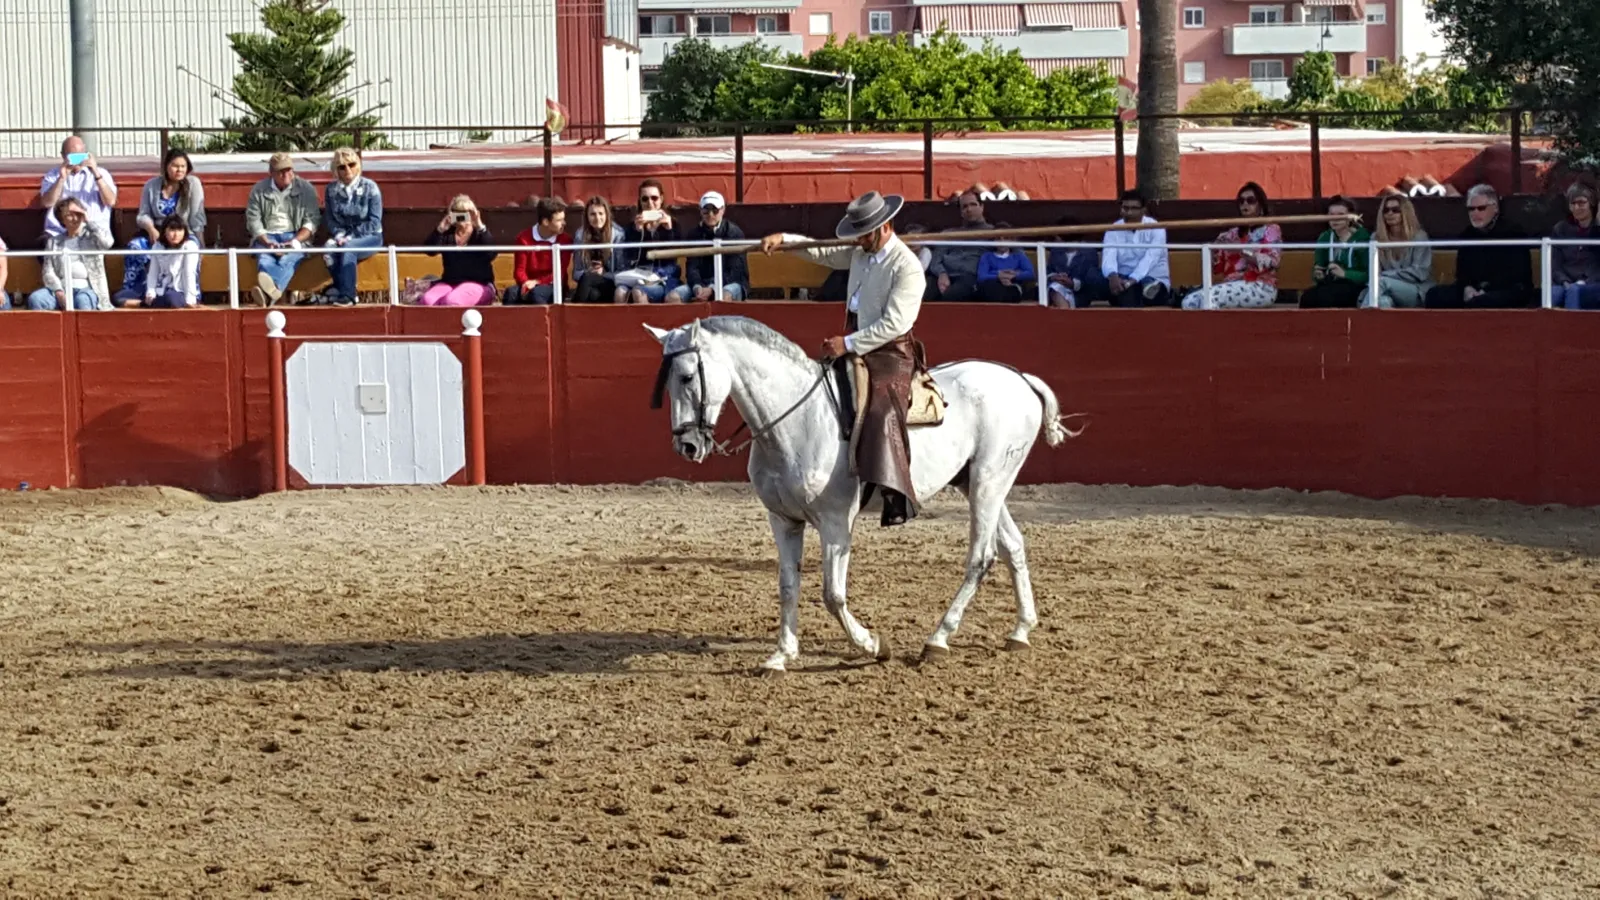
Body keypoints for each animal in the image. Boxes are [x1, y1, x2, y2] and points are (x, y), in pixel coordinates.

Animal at [644, 316, 1074, 674]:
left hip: (989, 481)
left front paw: (873, 645)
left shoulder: (835, 525)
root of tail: (1019, 378)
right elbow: (787, 586)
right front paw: (781, 655)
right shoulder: (784, 521)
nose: (687, 446)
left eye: (687, 377)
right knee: (1013, 546)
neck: (799, 421)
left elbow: (832, 594)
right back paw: (1020, 631)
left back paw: (938, 639)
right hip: (980, 484)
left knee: (981, 558)